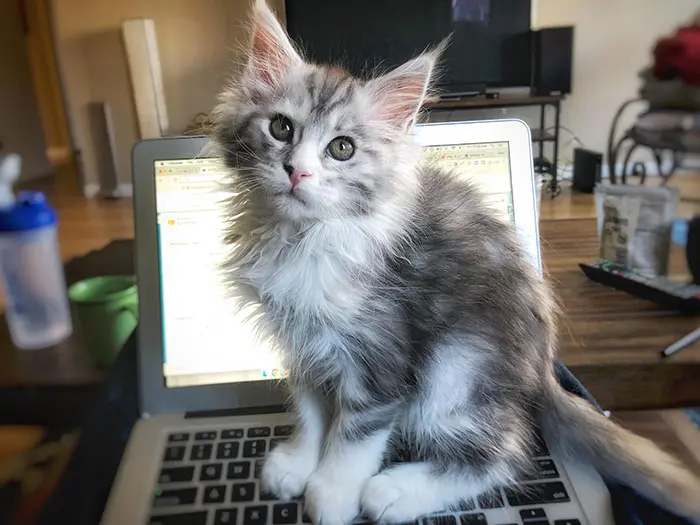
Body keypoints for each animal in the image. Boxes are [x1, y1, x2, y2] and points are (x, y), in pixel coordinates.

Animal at [212, 2, 700, 520]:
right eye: (281, 128)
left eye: (341, 148)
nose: (297, 171)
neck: (302, 237)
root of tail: (544, 371)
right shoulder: (302, 341)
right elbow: (309, 407)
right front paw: (298, 463)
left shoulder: (381, 350)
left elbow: (356, 433)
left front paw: (332, 492)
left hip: (457, 370)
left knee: (504, 453)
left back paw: (395, 492)